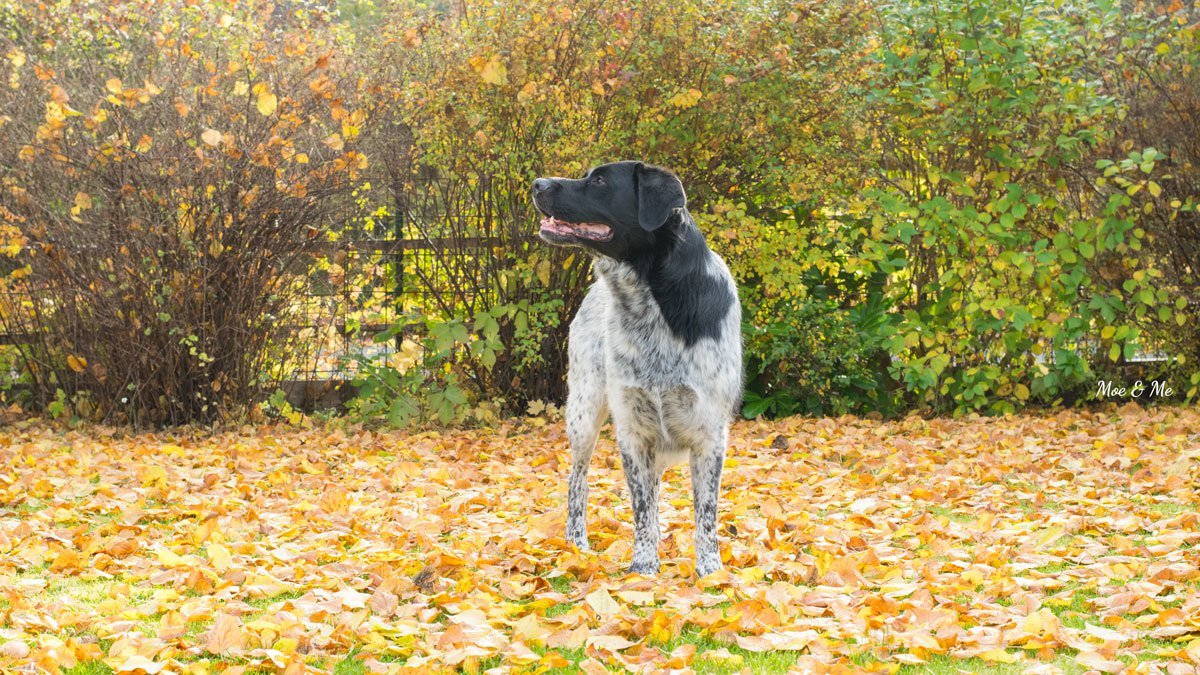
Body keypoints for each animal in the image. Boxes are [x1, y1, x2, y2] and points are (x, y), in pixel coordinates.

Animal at [532, 158, 739, 571]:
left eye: (599, 180)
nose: (536, 184)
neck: (651, 304)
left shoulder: (709, 433)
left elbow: (705, 513)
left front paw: (710, 571)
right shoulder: (633, 429)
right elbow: (642, 508)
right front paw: (643, 568)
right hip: (584, 412)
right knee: (578, 480)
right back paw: (576, 543)